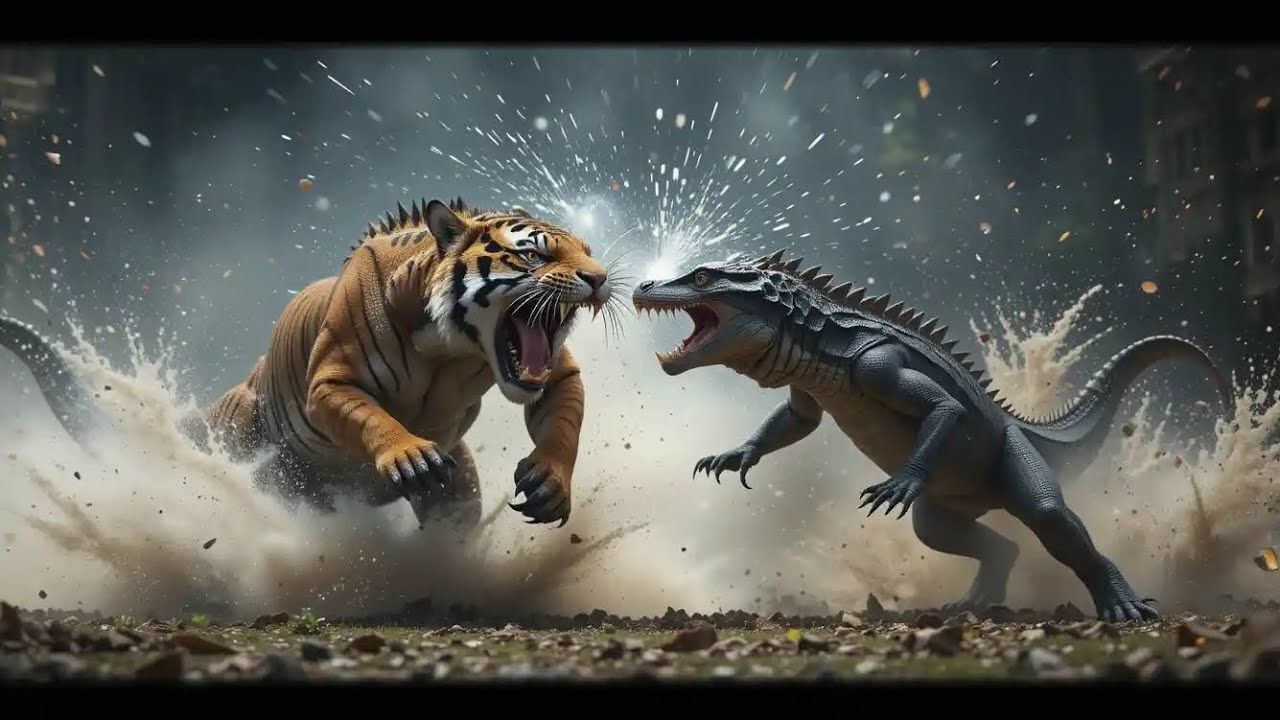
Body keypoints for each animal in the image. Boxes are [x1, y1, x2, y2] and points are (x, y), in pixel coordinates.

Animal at [0, 197, 612, 530]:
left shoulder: (557, 372)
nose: (601, 278)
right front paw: (409, 455)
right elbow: (373, 418)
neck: (452, 346)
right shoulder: (330, 381)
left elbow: (564, 419)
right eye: (532, 253)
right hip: (260, 466)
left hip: (456, 485)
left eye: (586, 251)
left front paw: (549, 482)